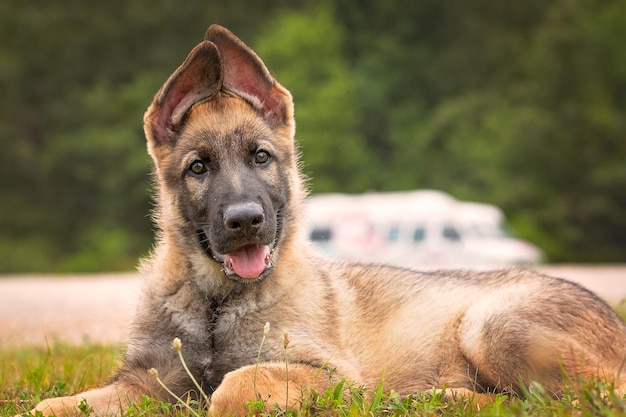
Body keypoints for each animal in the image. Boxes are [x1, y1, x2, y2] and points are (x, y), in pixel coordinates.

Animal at [28, 26, 624, 416]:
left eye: (261, 158)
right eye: (198, 167)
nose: (246, 221)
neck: (217, 303)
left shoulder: (330, 375)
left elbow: (235, 385)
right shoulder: (143, 382)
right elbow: (55, 405)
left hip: (491, 325)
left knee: (588, 393)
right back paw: (438, 397)